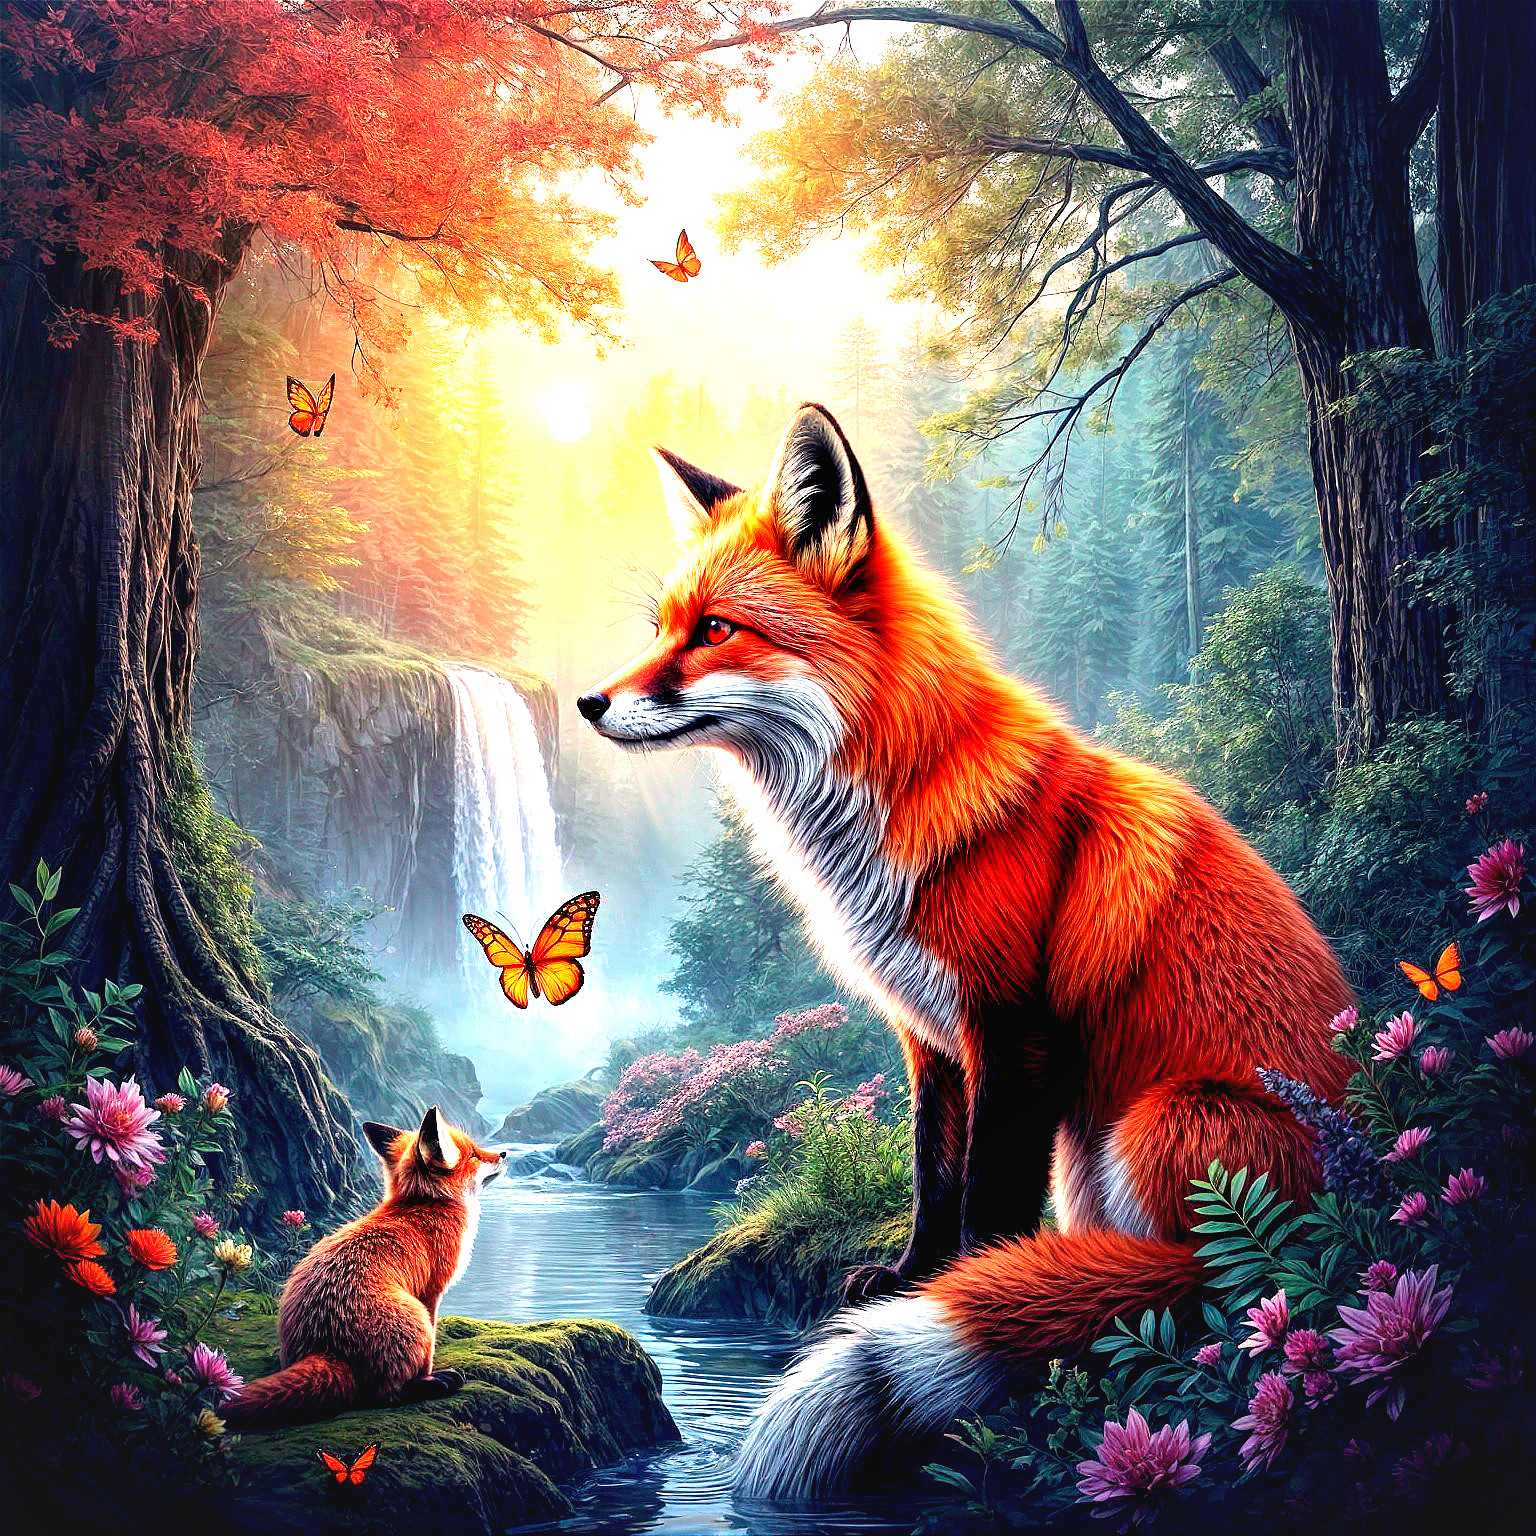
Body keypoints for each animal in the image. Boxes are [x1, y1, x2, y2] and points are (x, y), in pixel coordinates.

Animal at [222, 1107, 505, 1430]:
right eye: (474, 1155)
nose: (504, 1153)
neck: (424, 1205)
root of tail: (326, 1346)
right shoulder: (431, 1293)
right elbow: (431, 1348)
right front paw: (429, 1373)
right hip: (415, 1317)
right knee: (383, 1394)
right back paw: (430, 1384)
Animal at [579, 403, 1355, 1497]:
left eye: (716, 631)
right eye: (660, 629)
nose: (589, 703)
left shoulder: (1014, 1028)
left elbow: (987, 1193)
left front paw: (971, 1285)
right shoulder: (929, 1036)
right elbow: (932, 1173)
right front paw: (909, 1280)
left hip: (1159, 1118)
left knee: (1205, 1285)